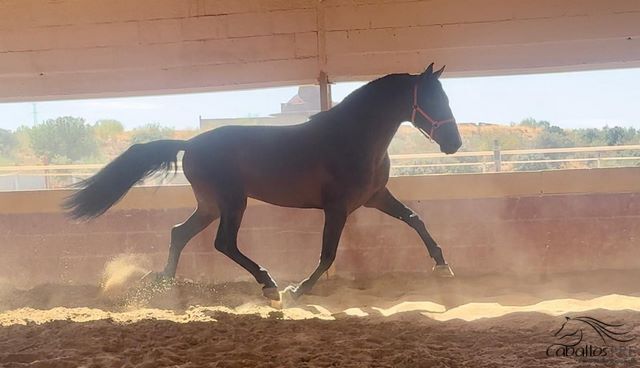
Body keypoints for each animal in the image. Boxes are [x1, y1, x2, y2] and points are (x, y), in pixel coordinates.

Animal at [65, 63, 462, 300]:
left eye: (445, 98)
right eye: (432, 100)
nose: (454, 143)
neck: (353, 138)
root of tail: (190, 144)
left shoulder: (375, 196)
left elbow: (415, 220)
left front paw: (443, 266)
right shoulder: (336, 208)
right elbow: (328, 254)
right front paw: (298, 289)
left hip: (210, 205)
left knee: (179, 233)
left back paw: (165, 281)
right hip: (232, 202)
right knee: (223, 243)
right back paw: (269, 285)